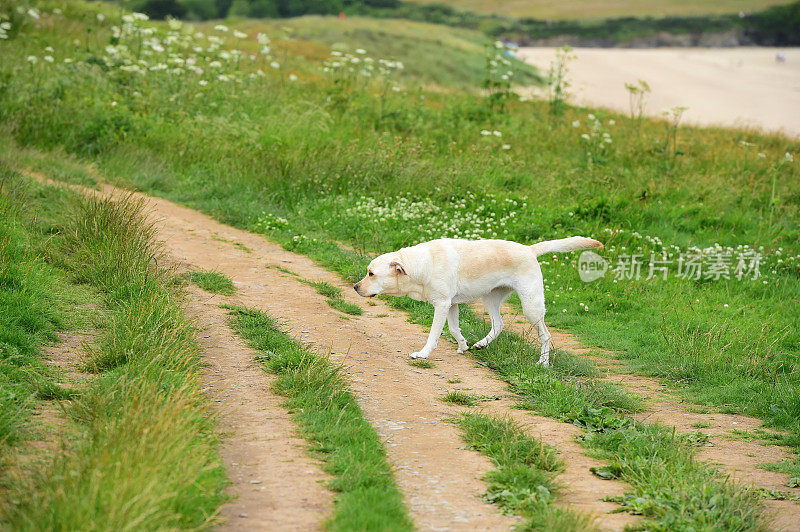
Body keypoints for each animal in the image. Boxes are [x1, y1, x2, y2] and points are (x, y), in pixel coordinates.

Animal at [354, 237, 604, 366]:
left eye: (371, 274)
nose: (355, 287)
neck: (421, 265)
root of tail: (529, 249)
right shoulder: (452, 305)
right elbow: (454, 329)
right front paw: (463, 345)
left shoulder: (442, 305)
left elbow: (434, 334)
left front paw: (423, 354)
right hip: (490, 298)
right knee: (499, 325)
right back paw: (482, 344)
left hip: (531, 306)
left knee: (546, 335)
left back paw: (543, 363)